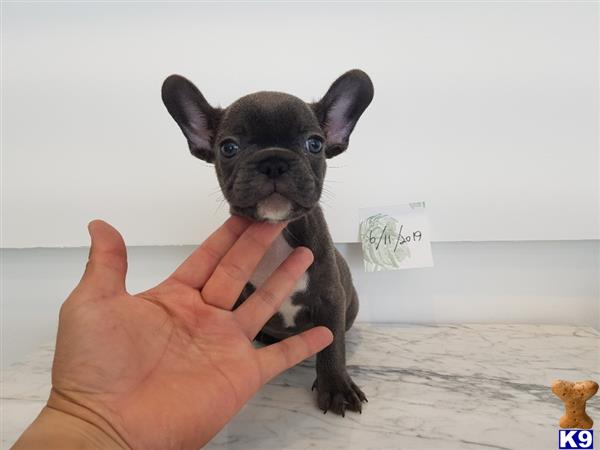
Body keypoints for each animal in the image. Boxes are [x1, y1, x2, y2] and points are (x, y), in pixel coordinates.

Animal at [162, 70, 372, 414]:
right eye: (228, 148)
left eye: (315, 144)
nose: (273, 160)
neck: (275, 233)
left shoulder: (330, 298)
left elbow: (331, 344)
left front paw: (336, 386)